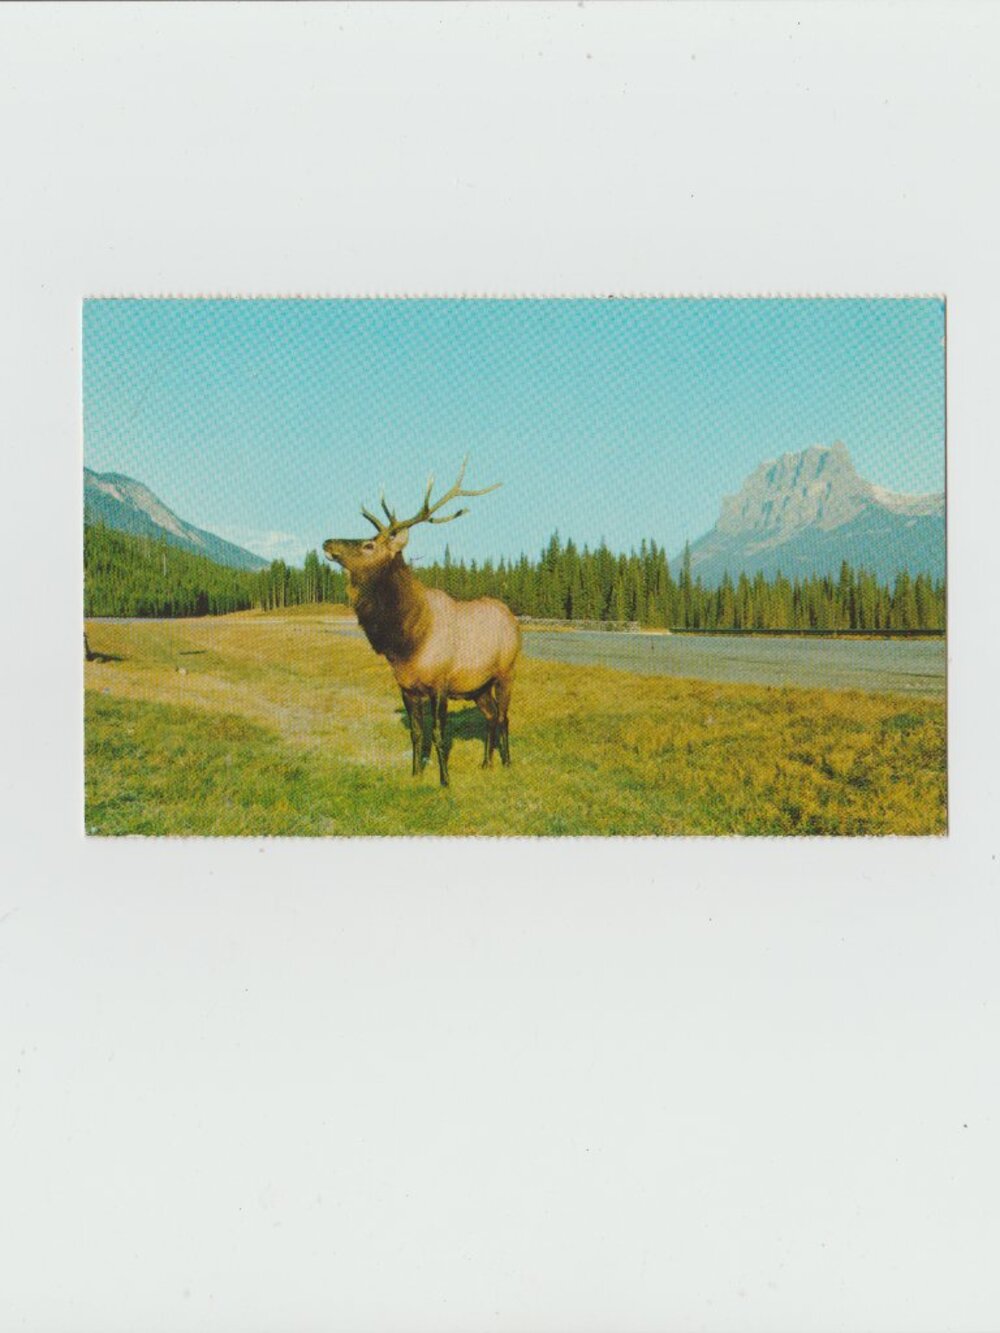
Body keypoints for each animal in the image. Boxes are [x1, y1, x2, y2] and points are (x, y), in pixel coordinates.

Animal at [323, 461, 521, 787]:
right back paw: (485, 762)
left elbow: (439, 734)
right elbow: (417, 734)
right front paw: (415, 773)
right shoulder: (406, 686)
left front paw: (445, 781)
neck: (407, 642)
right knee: (491, 716)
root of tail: (513, 619)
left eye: (368, 545)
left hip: (506, 672)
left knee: (504, 716)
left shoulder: (440, 684)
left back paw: (505, 762)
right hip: (478, 686)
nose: (327, 541)